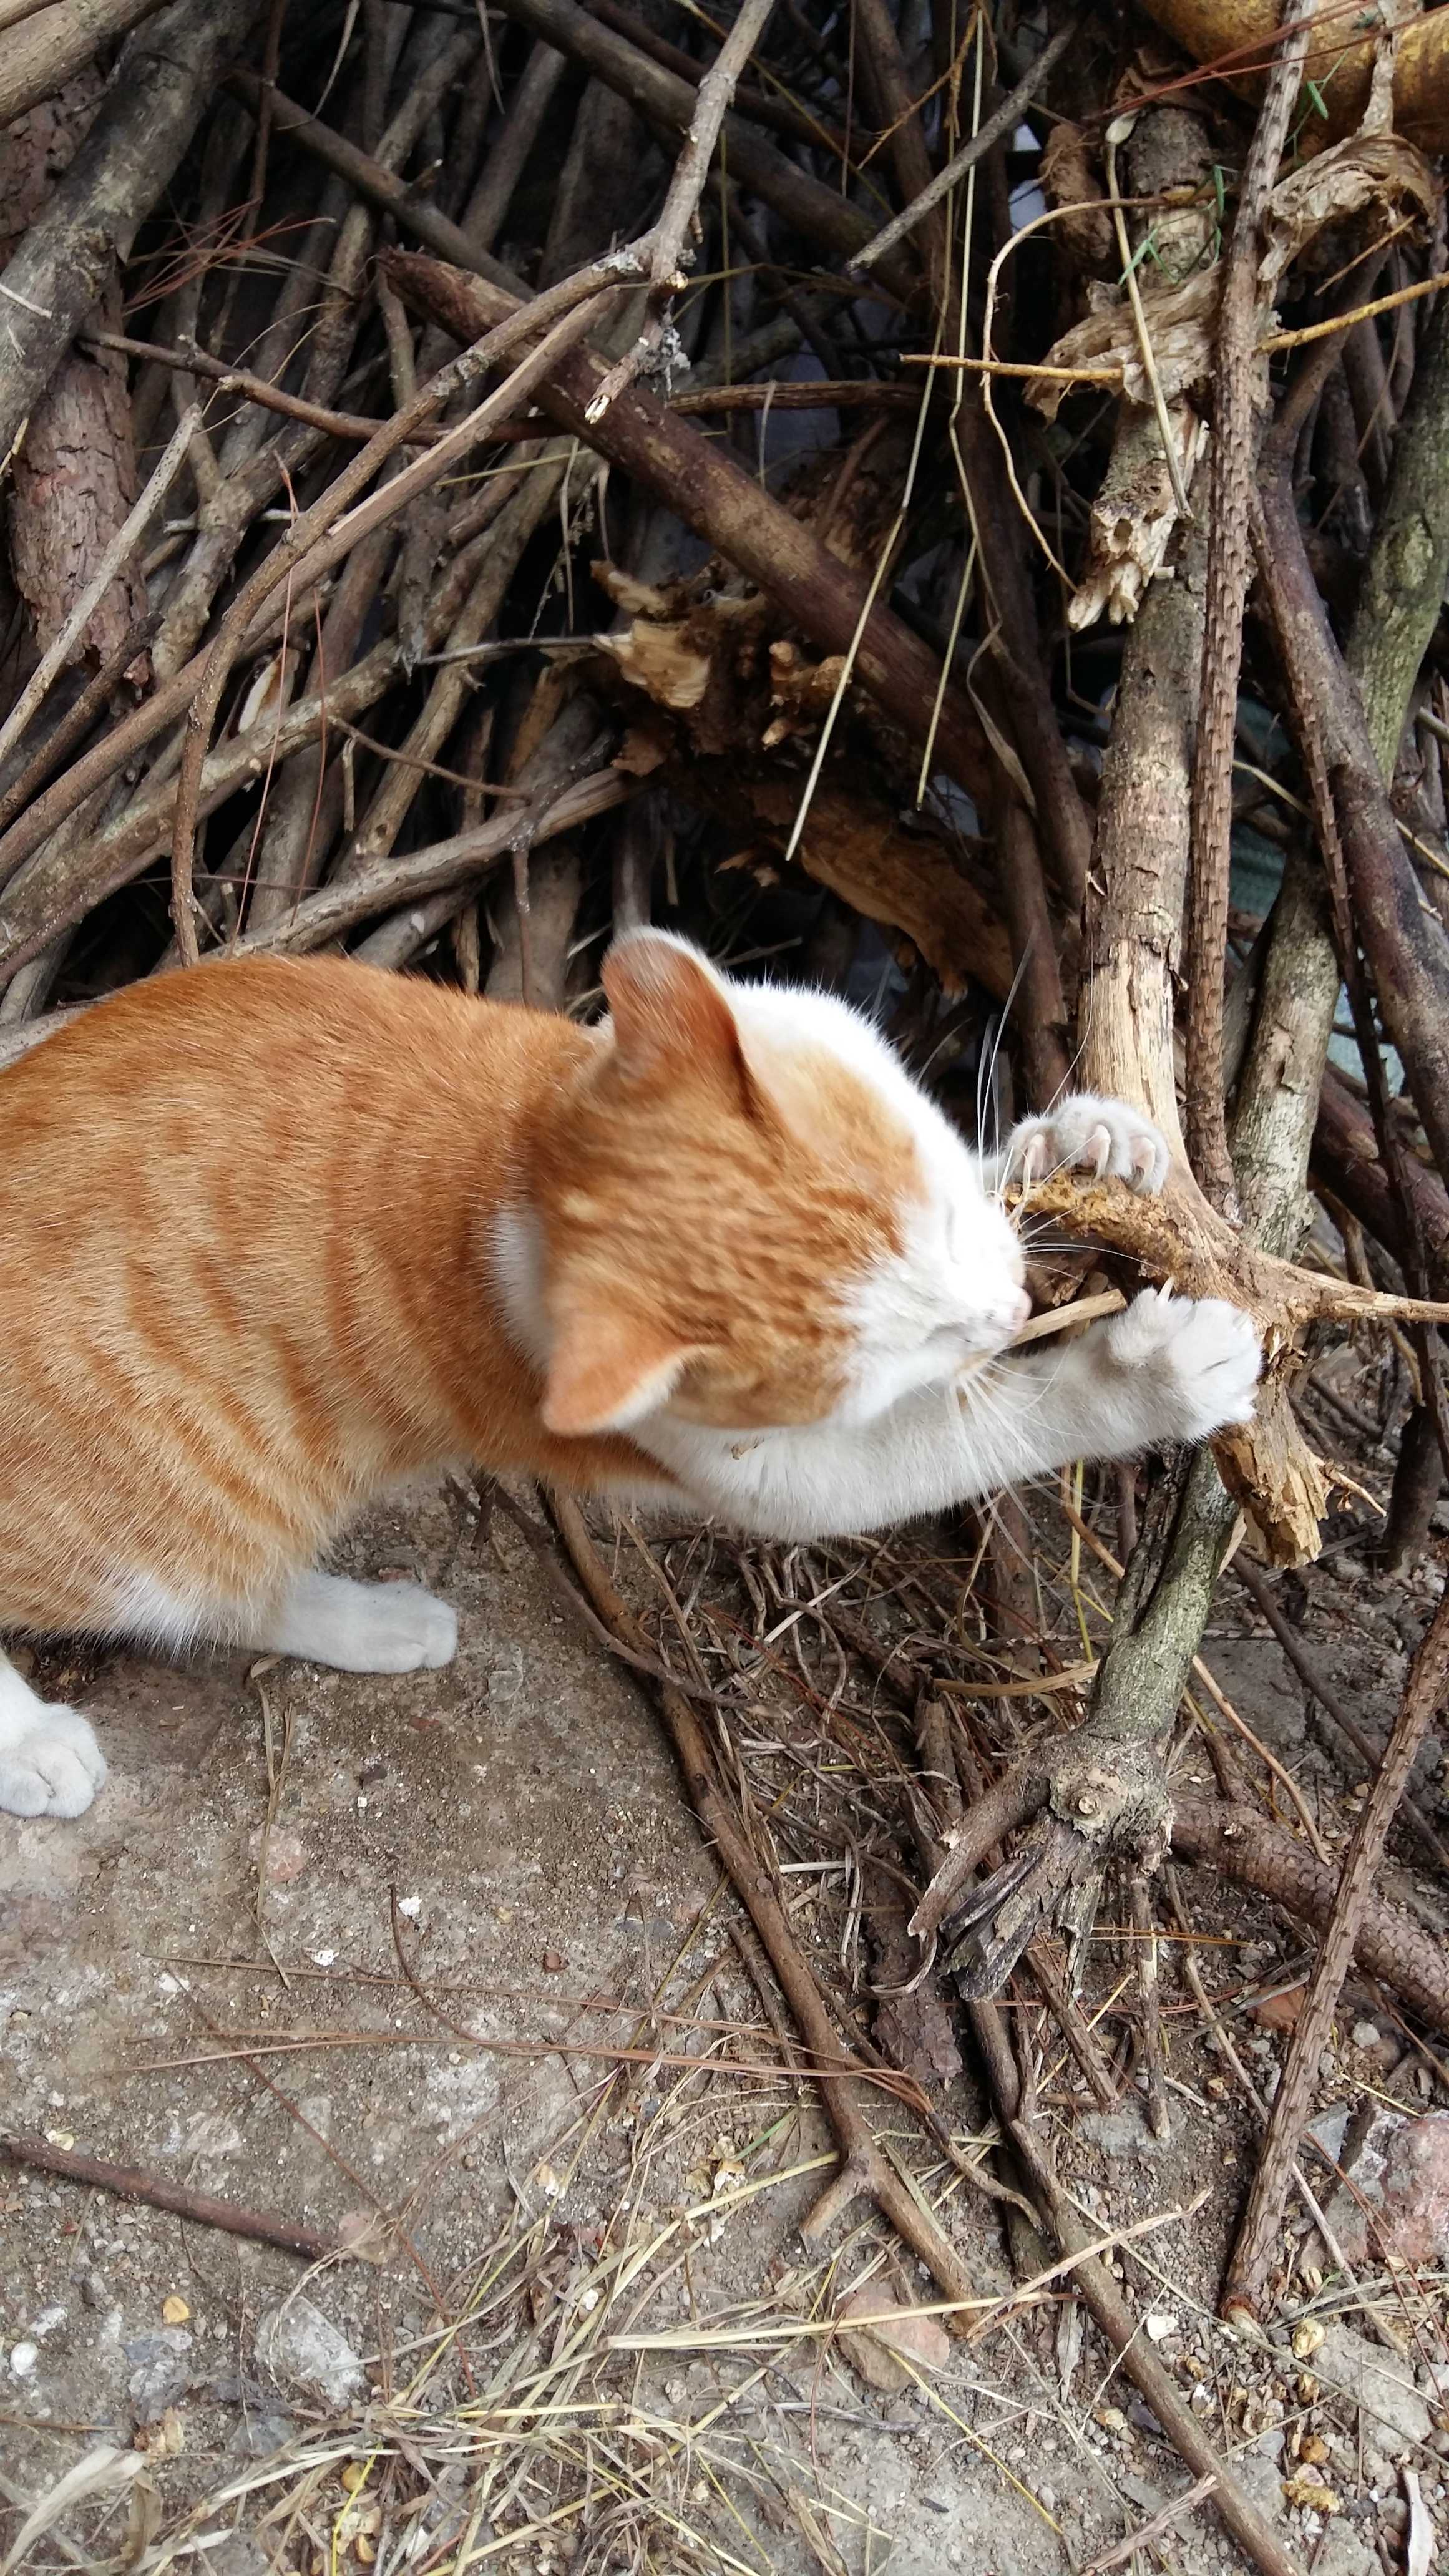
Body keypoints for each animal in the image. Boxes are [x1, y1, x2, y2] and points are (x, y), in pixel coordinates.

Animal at [0, 927, 1252, 1813]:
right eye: (893, 1359)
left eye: (940, 1211)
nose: (1004, 1315)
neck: (512, 1152)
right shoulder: (768, 1474)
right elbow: (963, 1439)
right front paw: (1144, 1380)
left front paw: (1078, 1142)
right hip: (162, 1514)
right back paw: (39, 1744)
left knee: (236, 1591)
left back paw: (376, 1621)